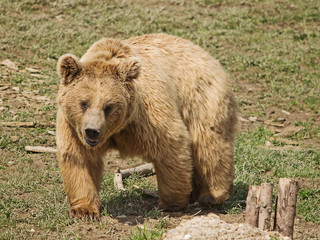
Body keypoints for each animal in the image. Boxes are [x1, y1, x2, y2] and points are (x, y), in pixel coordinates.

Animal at [56, 33, 238, 219]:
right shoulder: (73, 128)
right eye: (83, 103)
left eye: (108, 106)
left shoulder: (147, 116)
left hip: (201, 98)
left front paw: (171, 203)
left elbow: (171, 146)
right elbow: (79, 159)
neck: (118, 129)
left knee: (209, 145)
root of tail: (203, 52)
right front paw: (84, 210)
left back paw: (212, 194)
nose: (92, 131)